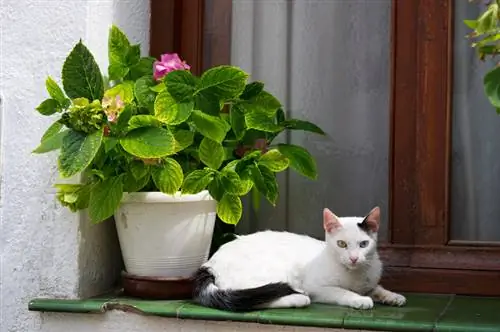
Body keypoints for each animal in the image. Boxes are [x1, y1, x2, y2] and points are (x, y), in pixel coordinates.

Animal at [192, 208, 406, 312]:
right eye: (342, 244)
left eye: (363, 244)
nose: (353, 258)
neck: (355, 275)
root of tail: (210, 264)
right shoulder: (318, 287)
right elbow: (342, 292)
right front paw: (359, 299)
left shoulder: (369, 282)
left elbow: (376, 288)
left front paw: (392, 296)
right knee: (254, 300)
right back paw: (297, 298)